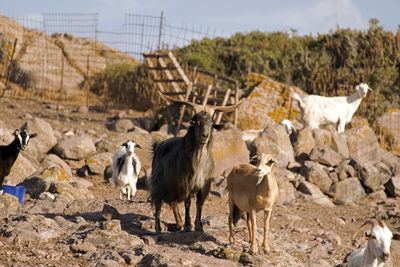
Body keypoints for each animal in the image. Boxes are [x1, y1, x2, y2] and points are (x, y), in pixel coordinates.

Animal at [150, 91, 242, 233]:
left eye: (211, 123)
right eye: (197, 122)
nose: (205, 136)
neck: (198, 161)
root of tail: (157, 147)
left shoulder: (203, 185)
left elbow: (199, 204)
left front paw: (199, 226)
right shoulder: (186, 183)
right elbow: (188, 203)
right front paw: (188, 225)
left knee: (174, 203)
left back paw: (179, 224)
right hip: (159, 183)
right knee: (158, 204)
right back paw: (159, 228)